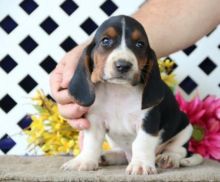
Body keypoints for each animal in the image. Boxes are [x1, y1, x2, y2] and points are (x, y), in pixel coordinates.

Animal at [61, 15, 202, 175]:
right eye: (106, 41)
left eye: (140, 44)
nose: (123, 65)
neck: (119, 90)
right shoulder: (95, 121)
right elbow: (91, 143)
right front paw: (84, 161)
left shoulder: (147, 121)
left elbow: (142, 143)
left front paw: (140, 164)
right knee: (123, 154)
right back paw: (107, 156)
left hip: (185, 127)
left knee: (179, 150)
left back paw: (168, 158)